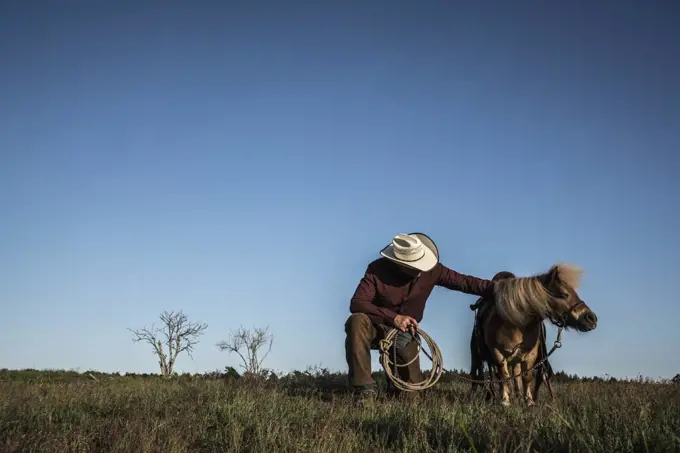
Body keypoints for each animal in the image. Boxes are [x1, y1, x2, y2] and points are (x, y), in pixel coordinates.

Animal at [470, 264, 596, 404]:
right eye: (563, 294)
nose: (591, 318)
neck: (514, 324)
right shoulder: (497, 353)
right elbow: (504, 375)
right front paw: (505, 401)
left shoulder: (530, 355)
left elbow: (526, 377)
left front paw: (529, 402)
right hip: (477, 356)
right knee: (478, 376)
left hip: (516, 361)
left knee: (516, 377)